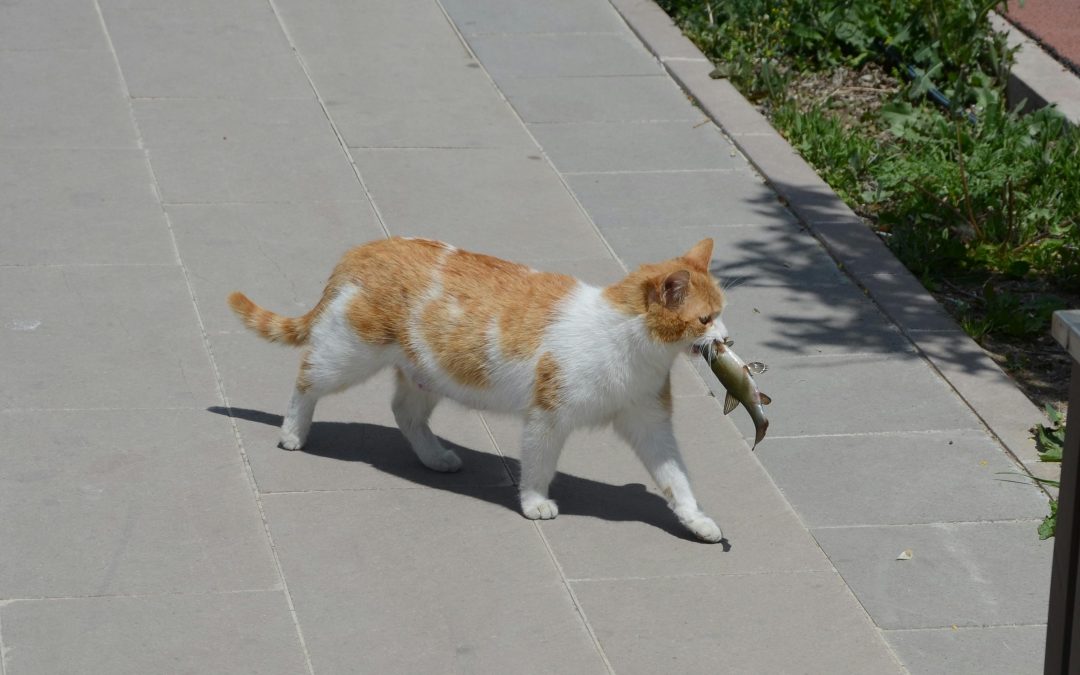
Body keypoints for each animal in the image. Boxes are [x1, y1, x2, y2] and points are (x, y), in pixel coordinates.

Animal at [231, 236, 730, 542]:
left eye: (722, 312)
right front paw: (535, 503)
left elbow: (676, 479)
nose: (728, 338)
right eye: (706, 319)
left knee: (405, 413)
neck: (631, 347)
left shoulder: (650, 422)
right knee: (306, 378)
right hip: (349, 355)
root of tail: (365, 248)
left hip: (427, 372)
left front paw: (698, 521)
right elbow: (538, 466)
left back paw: (434, 457)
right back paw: (292, 433)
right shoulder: (547, 417)